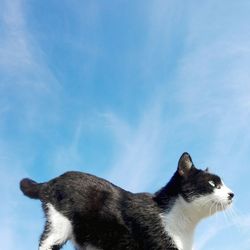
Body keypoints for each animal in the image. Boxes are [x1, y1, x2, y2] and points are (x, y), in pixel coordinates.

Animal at [20, 152, 234, 250]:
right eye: (213, 184)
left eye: (223, 183)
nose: (232, 194)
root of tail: (52, 181)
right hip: (60, 223)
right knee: (46, 242)